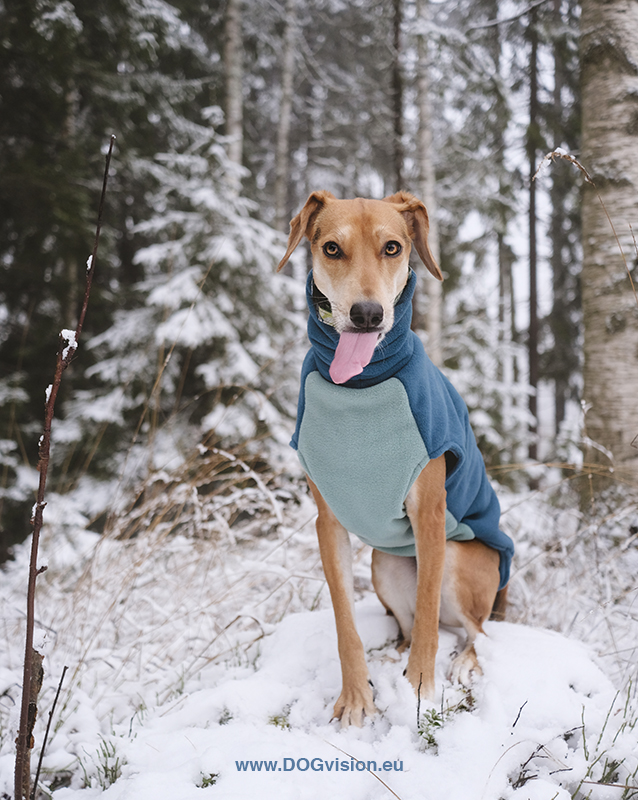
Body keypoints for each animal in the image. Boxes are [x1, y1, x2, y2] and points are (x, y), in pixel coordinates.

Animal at [278, 191, 516, 728]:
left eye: (392, 247)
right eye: (331, 248)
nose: (367, 314)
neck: (360, 385)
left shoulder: (429, 513)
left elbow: (427, 613)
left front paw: (421, 690)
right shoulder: (328, 522)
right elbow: (345, 623)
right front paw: (355, 698)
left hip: (461, 562)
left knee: (474, 631)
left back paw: (461, 663)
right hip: (384, 564)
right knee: (410, 626)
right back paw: (391, 657)